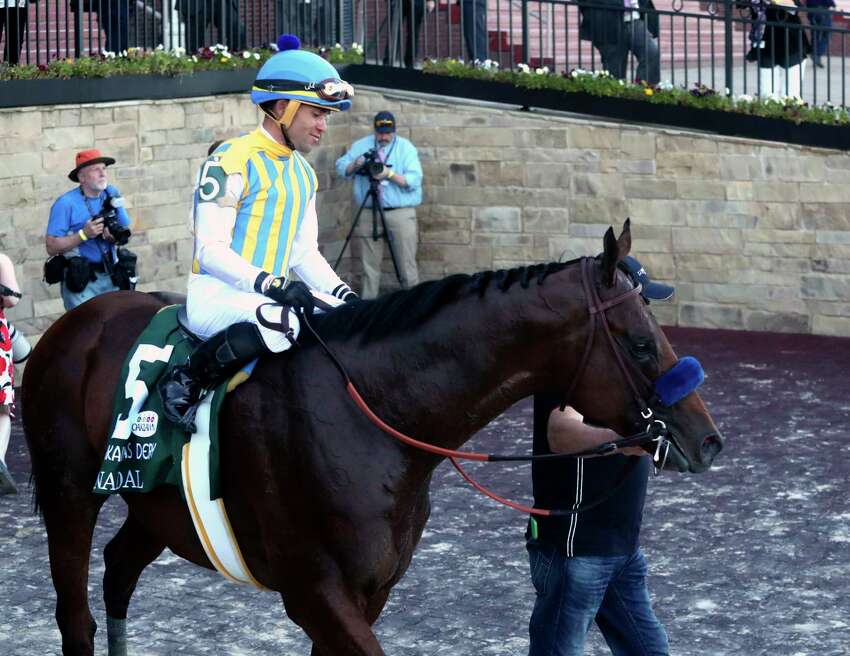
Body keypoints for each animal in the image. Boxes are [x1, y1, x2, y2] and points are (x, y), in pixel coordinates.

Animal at [21, 223, 724, 652]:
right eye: (641, 343)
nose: (707, 439)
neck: (373, 416)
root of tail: (75, 323)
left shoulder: (371, 589)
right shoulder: (317, 592)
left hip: (158, 508)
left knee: (118, 569)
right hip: (68, 494)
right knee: (75, 613)